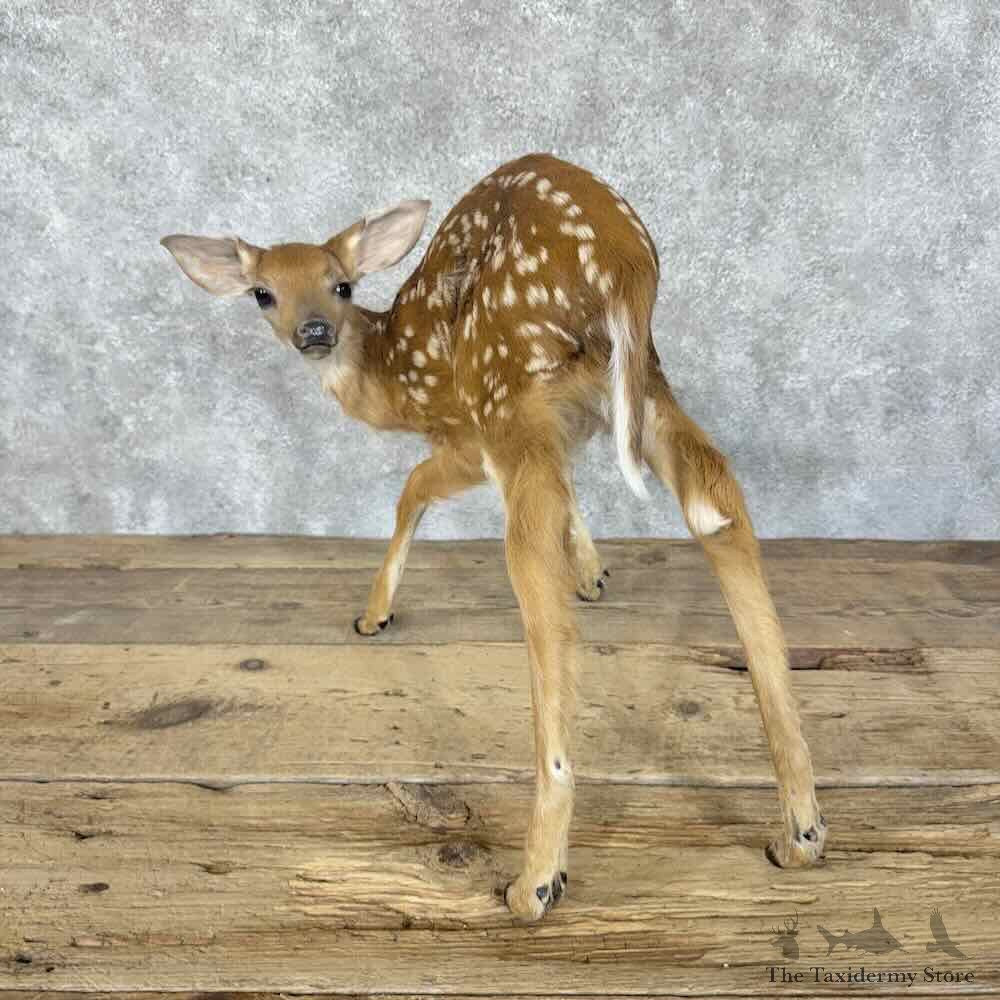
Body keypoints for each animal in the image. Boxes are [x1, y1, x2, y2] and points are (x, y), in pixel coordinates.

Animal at [161, 152, 827, 921]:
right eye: (263, 292)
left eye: (341, 284)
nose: (317, 331)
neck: (389, 379)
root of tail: (627, 260)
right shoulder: (565, 425)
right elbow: (572, 501)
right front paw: (594, 572)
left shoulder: (466, 438)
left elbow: (411, 491)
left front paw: (373, 613)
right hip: (639, 378)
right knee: (717, 502)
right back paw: (801, 829)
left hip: (505, 379)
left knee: (541, 591)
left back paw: (535, 881)